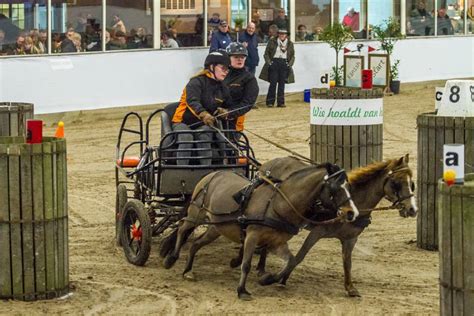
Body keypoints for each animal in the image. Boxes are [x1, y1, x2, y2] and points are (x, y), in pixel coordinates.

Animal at [161, 164, 358, 300]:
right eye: (335, 188)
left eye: (349, 186)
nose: (352, 213)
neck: (278, 204)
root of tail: (212, 173)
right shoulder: (252, 236)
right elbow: (246, 264)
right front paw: (242, 290)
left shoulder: (276, 242)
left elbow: (290, 261)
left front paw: (268, 279)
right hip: (196, 214)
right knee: (182, 228)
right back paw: (171, 258)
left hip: (217, 228)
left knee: (196, 243)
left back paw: (188, 271)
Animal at [239, 154, 416, 298]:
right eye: (396, 183)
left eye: (412, 183)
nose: (413, 209)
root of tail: (269, 163)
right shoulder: (317, 232)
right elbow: (299, 257)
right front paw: (281, 279)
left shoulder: (350, 239)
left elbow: (347, 262)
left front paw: (350, 288)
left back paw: (259, 266)